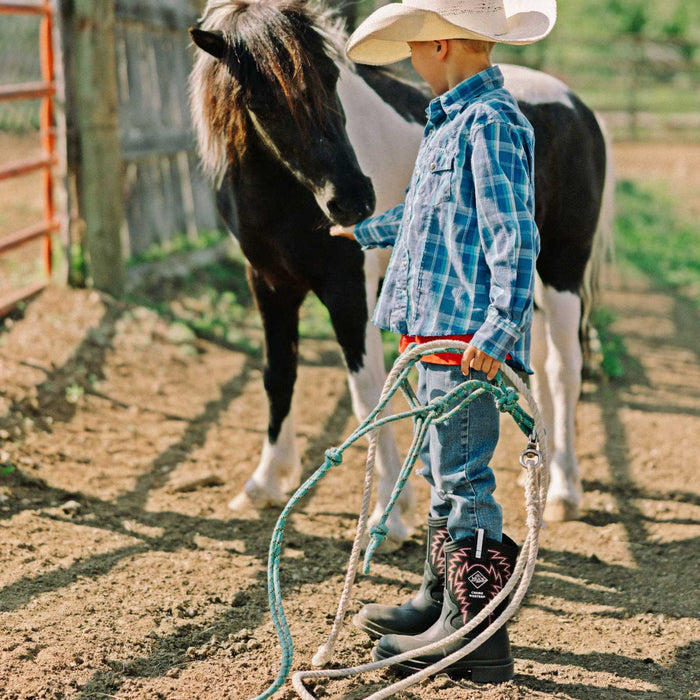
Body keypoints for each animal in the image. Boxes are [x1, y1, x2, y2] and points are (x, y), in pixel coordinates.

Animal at [188, 0, 613, 543]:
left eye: (332, 78)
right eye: (260, 100)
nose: (352, 200)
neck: (283, 195)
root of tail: (576, 105)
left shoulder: (347, 289)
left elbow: (369, 393)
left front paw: (388, 518)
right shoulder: (269, 285)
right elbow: (278, 375)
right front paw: (264, 482)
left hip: (564, 270)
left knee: (564, 370)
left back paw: (564, 492)